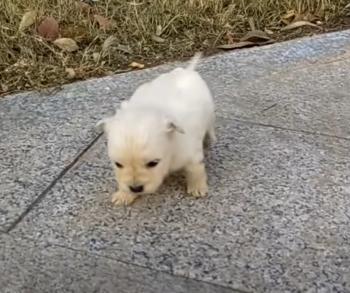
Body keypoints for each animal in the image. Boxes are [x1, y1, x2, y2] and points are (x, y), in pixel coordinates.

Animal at [97, 54, 215, 205]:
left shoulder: (191, 154)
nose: (136, 188)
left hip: (210, 112)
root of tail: (188, 71)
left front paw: (197, 187)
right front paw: (124, 195)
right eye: (118, 164)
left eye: (153, 163)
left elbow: (196, 170)